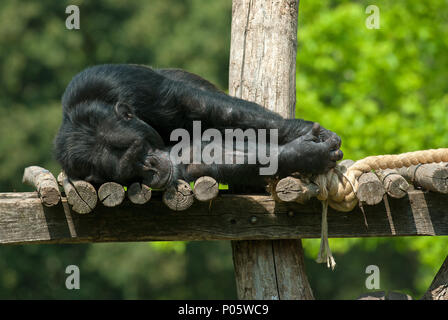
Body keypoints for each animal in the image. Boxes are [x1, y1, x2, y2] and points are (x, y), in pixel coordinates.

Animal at [55, 64, 344, 189]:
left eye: (139, 150)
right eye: (130, 169)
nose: (149, 166)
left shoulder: (118, 80)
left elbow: (201, 106)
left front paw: (305, 134)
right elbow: (201, 154)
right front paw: (305, 155)